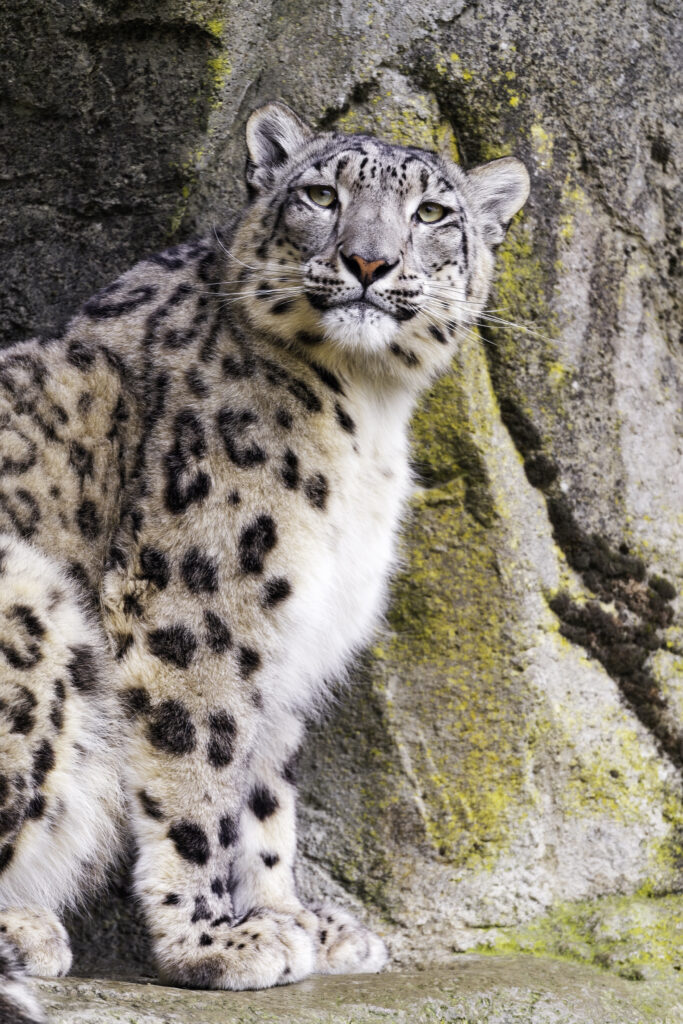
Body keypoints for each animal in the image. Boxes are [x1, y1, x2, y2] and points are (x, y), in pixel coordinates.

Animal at [0, 102, 528, 1020]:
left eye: (432, 213)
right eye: (320, 195)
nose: (367, 260)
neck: (367, 414)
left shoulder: (288, 633)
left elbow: (263, 789)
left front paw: (295, 920)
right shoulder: (196, 606)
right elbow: (198, 775)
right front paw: (214, 942)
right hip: (27, 597)